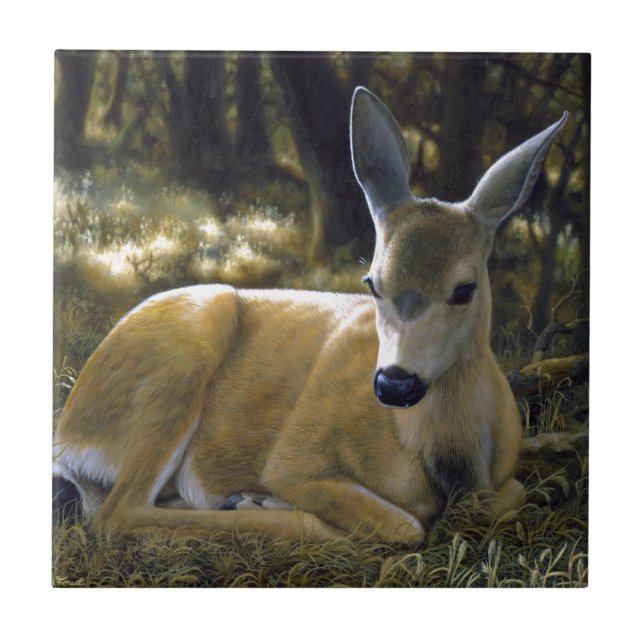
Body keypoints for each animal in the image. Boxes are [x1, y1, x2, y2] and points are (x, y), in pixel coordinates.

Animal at [53, 87, 567, 543]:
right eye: (372, 283)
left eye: (464, 289)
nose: (394, 383)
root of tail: (67, 431)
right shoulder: (293, 458)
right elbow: (404, 525)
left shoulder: (499, 481)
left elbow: (514, 493)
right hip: (182, 359)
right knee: (116, 512)